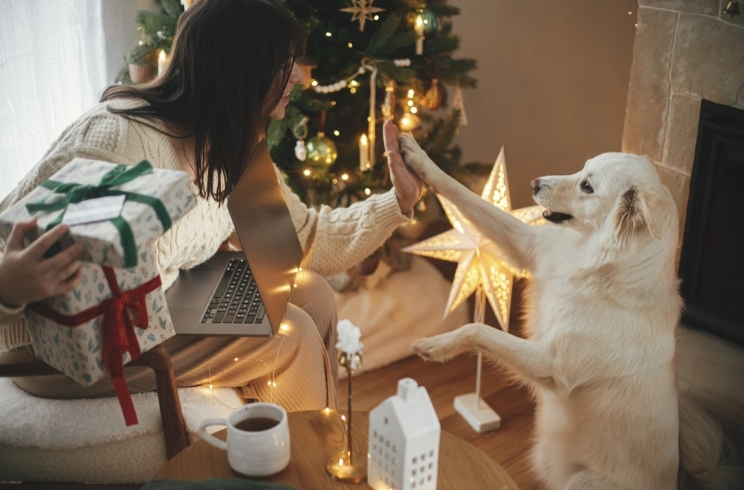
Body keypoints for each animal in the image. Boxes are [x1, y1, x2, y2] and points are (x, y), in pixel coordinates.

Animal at [398, 131, 728, 490]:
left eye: (587, 186)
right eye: (582, 168)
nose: (533, 183)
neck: (600, 266)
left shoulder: (552, 364)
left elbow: (479, 330)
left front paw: (433, 346)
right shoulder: (530, 247)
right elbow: (466, 196)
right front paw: (417, 157)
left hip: (579, 482)